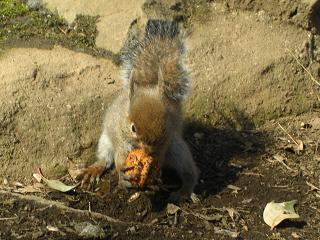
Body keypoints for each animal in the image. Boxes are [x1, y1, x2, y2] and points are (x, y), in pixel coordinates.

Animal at [80, 19, 199, 202]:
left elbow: (161, 153)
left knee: (190, 172)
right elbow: (120, 157)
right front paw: (124, 177)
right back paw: (95, 169)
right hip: (105, 140)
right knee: (105, 159)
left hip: (177, 149)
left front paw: (155, 174)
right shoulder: (118, 135)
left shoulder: (166, 139)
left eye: (164, 127)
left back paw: (183, 191)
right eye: (133, 128)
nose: (148, 150)